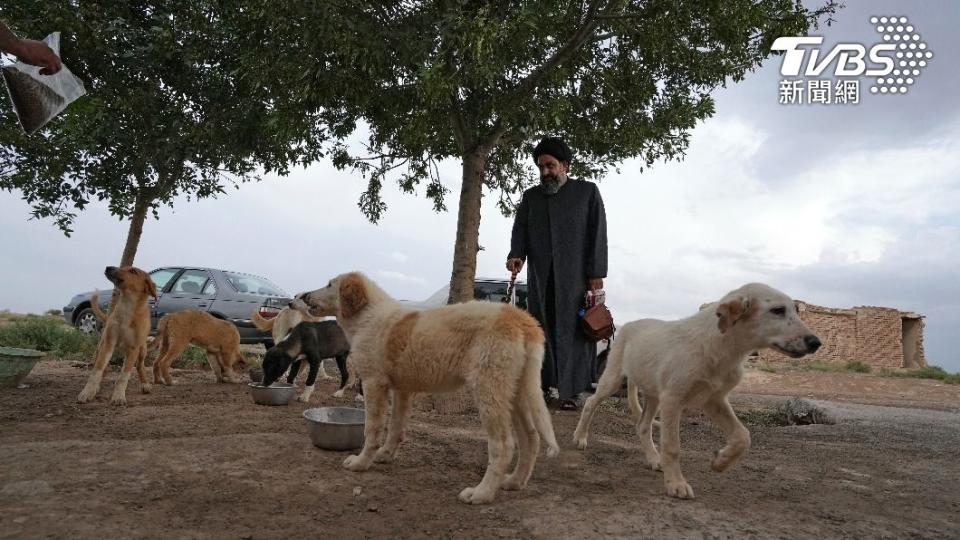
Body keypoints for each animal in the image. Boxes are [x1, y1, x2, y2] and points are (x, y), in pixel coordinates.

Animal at [77, 266, 158, 404]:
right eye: (123, 267)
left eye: (133, 271)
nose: (108, 267)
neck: (127, 307)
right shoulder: (109, 344)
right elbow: (97, 371)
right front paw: (87, 392)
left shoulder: (133, 348)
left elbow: (123, 376)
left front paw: (119, 396)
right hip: (102, 346)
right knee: (104, 368)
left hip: (142, 349)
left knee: (139, 365)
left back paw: (145, 384)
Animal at [296, 272, 560, 504]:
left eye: (330, 284)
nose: (305, 295)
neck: (367, 317)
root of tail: (521, 319)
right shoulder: (402, 389)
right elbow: (395, 427)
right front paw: (385, 455)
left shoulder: (373, 383)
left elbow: (372, 430)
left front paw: (361, 463)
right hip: (516, 393)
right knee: (531, 438)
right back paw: (514, 482)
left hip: (489, 390)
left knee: (504, 446)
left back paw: (481, 494)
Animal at [572, 282, 820, 498]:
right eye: (777, 310)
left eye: (795, 310)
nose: (815, 342)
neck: (722, 348)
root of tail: (630, 324)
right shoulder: (674, 399)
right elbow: (672, 446)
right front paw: (676, 484)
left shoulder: (714, 400)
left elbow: (743, 436)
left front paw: (720, 462)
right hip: (613, 379)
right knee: (591, 403)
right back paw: (580, 437)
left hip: (654, 395)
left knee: (643, 426)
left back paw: (654, 459)